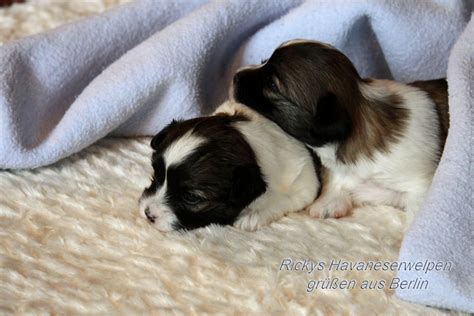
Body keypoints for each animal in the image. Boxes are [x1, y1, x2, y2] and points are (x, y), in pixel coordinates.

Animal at [139, 101, 320, 232]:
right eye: (156, 175)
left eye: (191, 197)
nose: (148, 213)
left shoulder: (304, 182)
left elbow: (285, 199)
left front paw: (253, 216)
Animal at [231, 39, 450, 223]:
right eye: (264, 61)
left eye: (272, 84)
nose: (235, 76)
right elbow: (338, 181)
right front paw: (329, 203)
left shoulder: (420, 185)